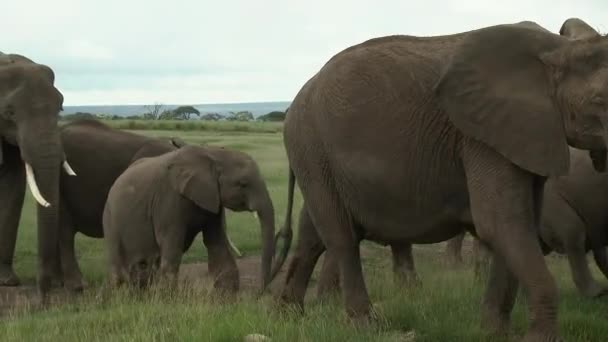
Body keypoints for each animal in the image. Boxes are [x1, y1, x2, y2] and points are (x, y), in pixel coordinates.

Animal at [102, 145, 276, 294]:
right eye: (243, 184)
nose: (259, 293)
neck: (213, 154)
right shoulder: (168, 199)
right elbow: (172, 245)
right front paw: (169, 298)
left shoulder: (212, 200)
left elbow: (216, 243)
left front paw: (226, 297)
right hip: (110, 220)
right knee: (119, 268)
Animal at [272, 18, 608, 342]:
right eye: (601, 100)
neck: (559, 48)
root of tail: (298, 97)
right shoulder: (480, 138)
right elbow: (500, 222)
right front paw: (538, 338)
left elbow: (519, 224)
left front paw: (493, 332)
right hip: (311, 147)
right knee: (341, 236)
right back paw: (364, 326)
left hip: (316, 157)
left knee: (312, 235)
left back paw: (288, 316)